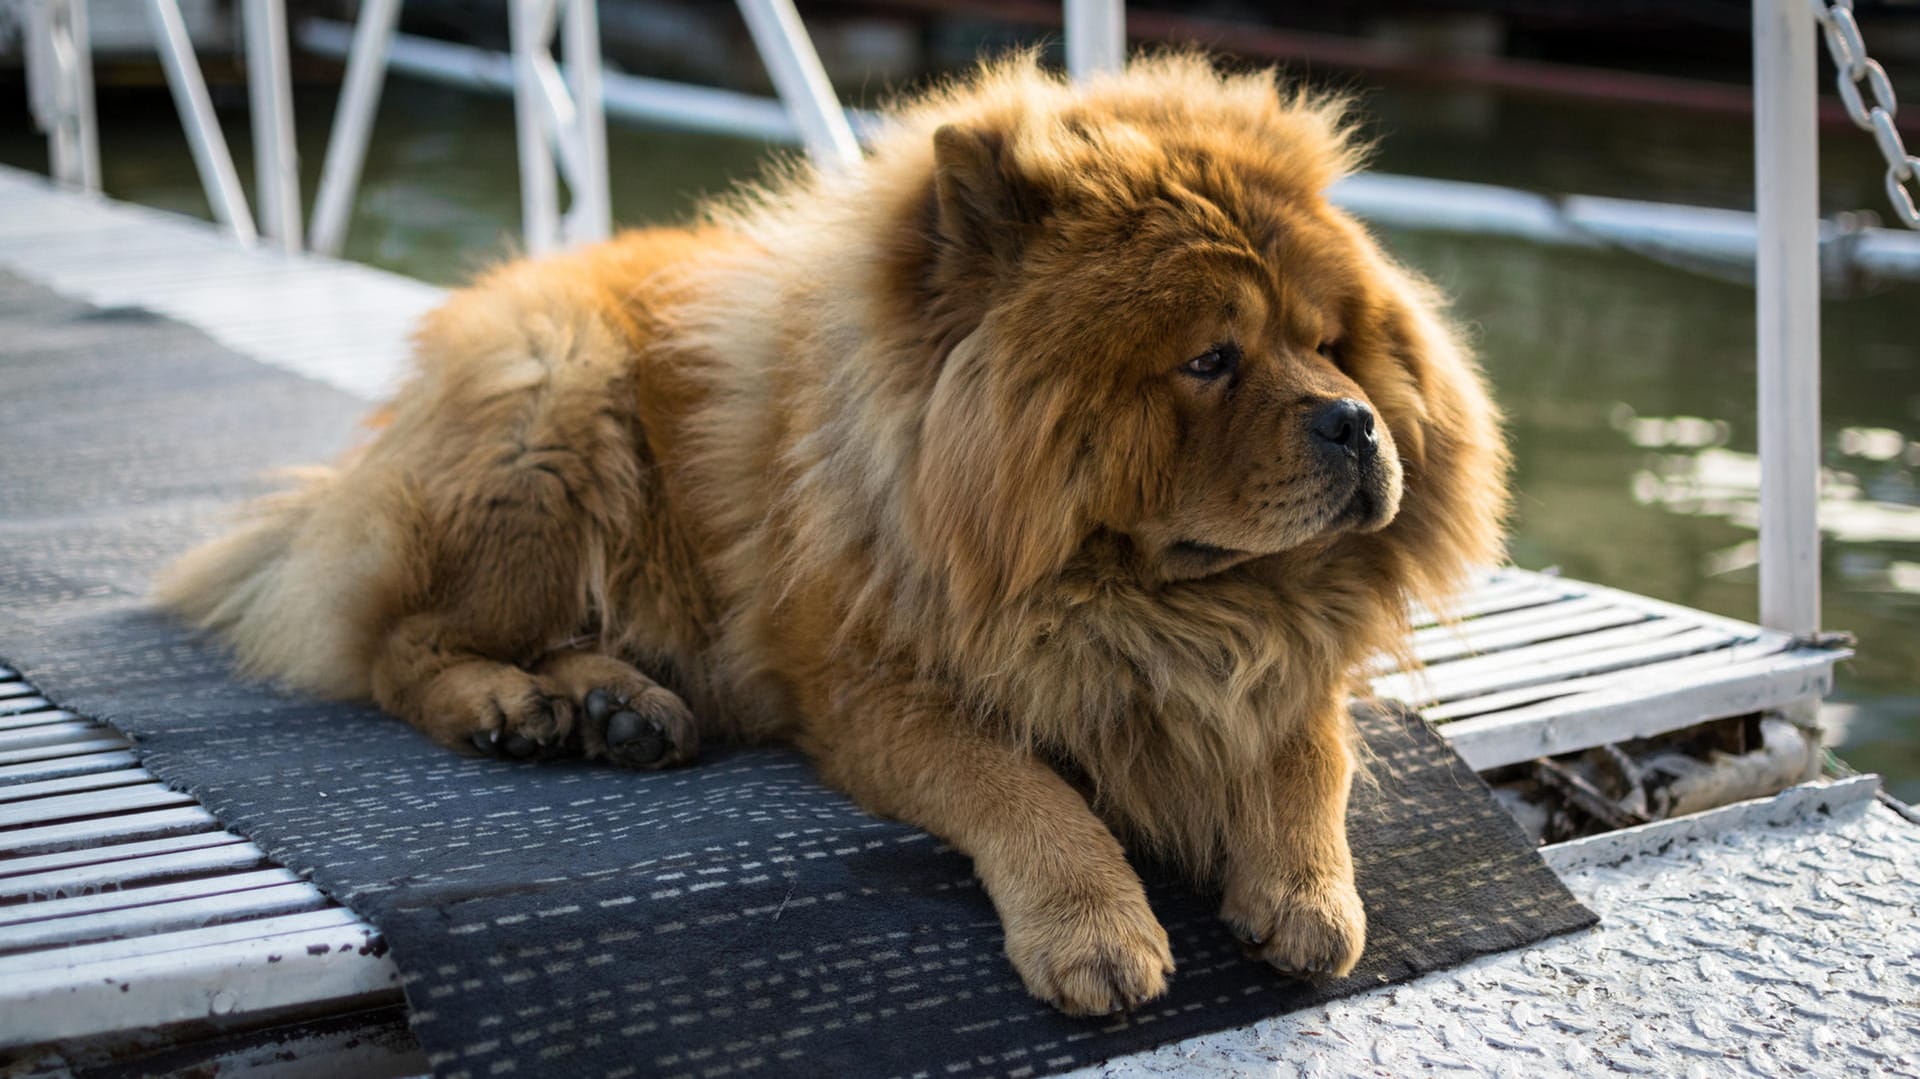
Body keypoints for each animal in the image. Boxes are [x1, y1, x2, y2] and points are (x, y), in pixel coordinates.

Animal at [157, 56, 1505, 1013]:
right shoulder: (863, 683)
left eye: (1331, 342)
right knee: (405, 638)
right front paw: (1096, 928)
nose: (1355, 422)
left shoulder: (1268, 661)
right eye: (1211, 359)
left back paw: (618, 706)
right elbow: (1018, 784)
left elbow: (1310, 746)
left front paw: (1310, 891)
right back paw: (507, 704)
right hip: (556, 422)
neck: (1124, 589)